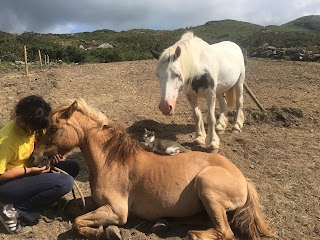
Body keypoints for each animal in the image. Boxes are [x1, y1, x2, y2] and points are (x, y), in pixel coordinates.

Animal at [31, 99, 274, 240]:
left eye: (54, 128)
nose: (34, 157)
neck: (112, 160)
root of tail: (244, 180)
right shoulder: (97, 202)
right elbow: (72, 209)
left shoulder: (116, 211)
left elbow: (77, 223)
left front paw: (105, 232)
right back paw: (165, 222)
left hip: (207, 186)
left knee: (223, 231)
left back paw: (187, 232)